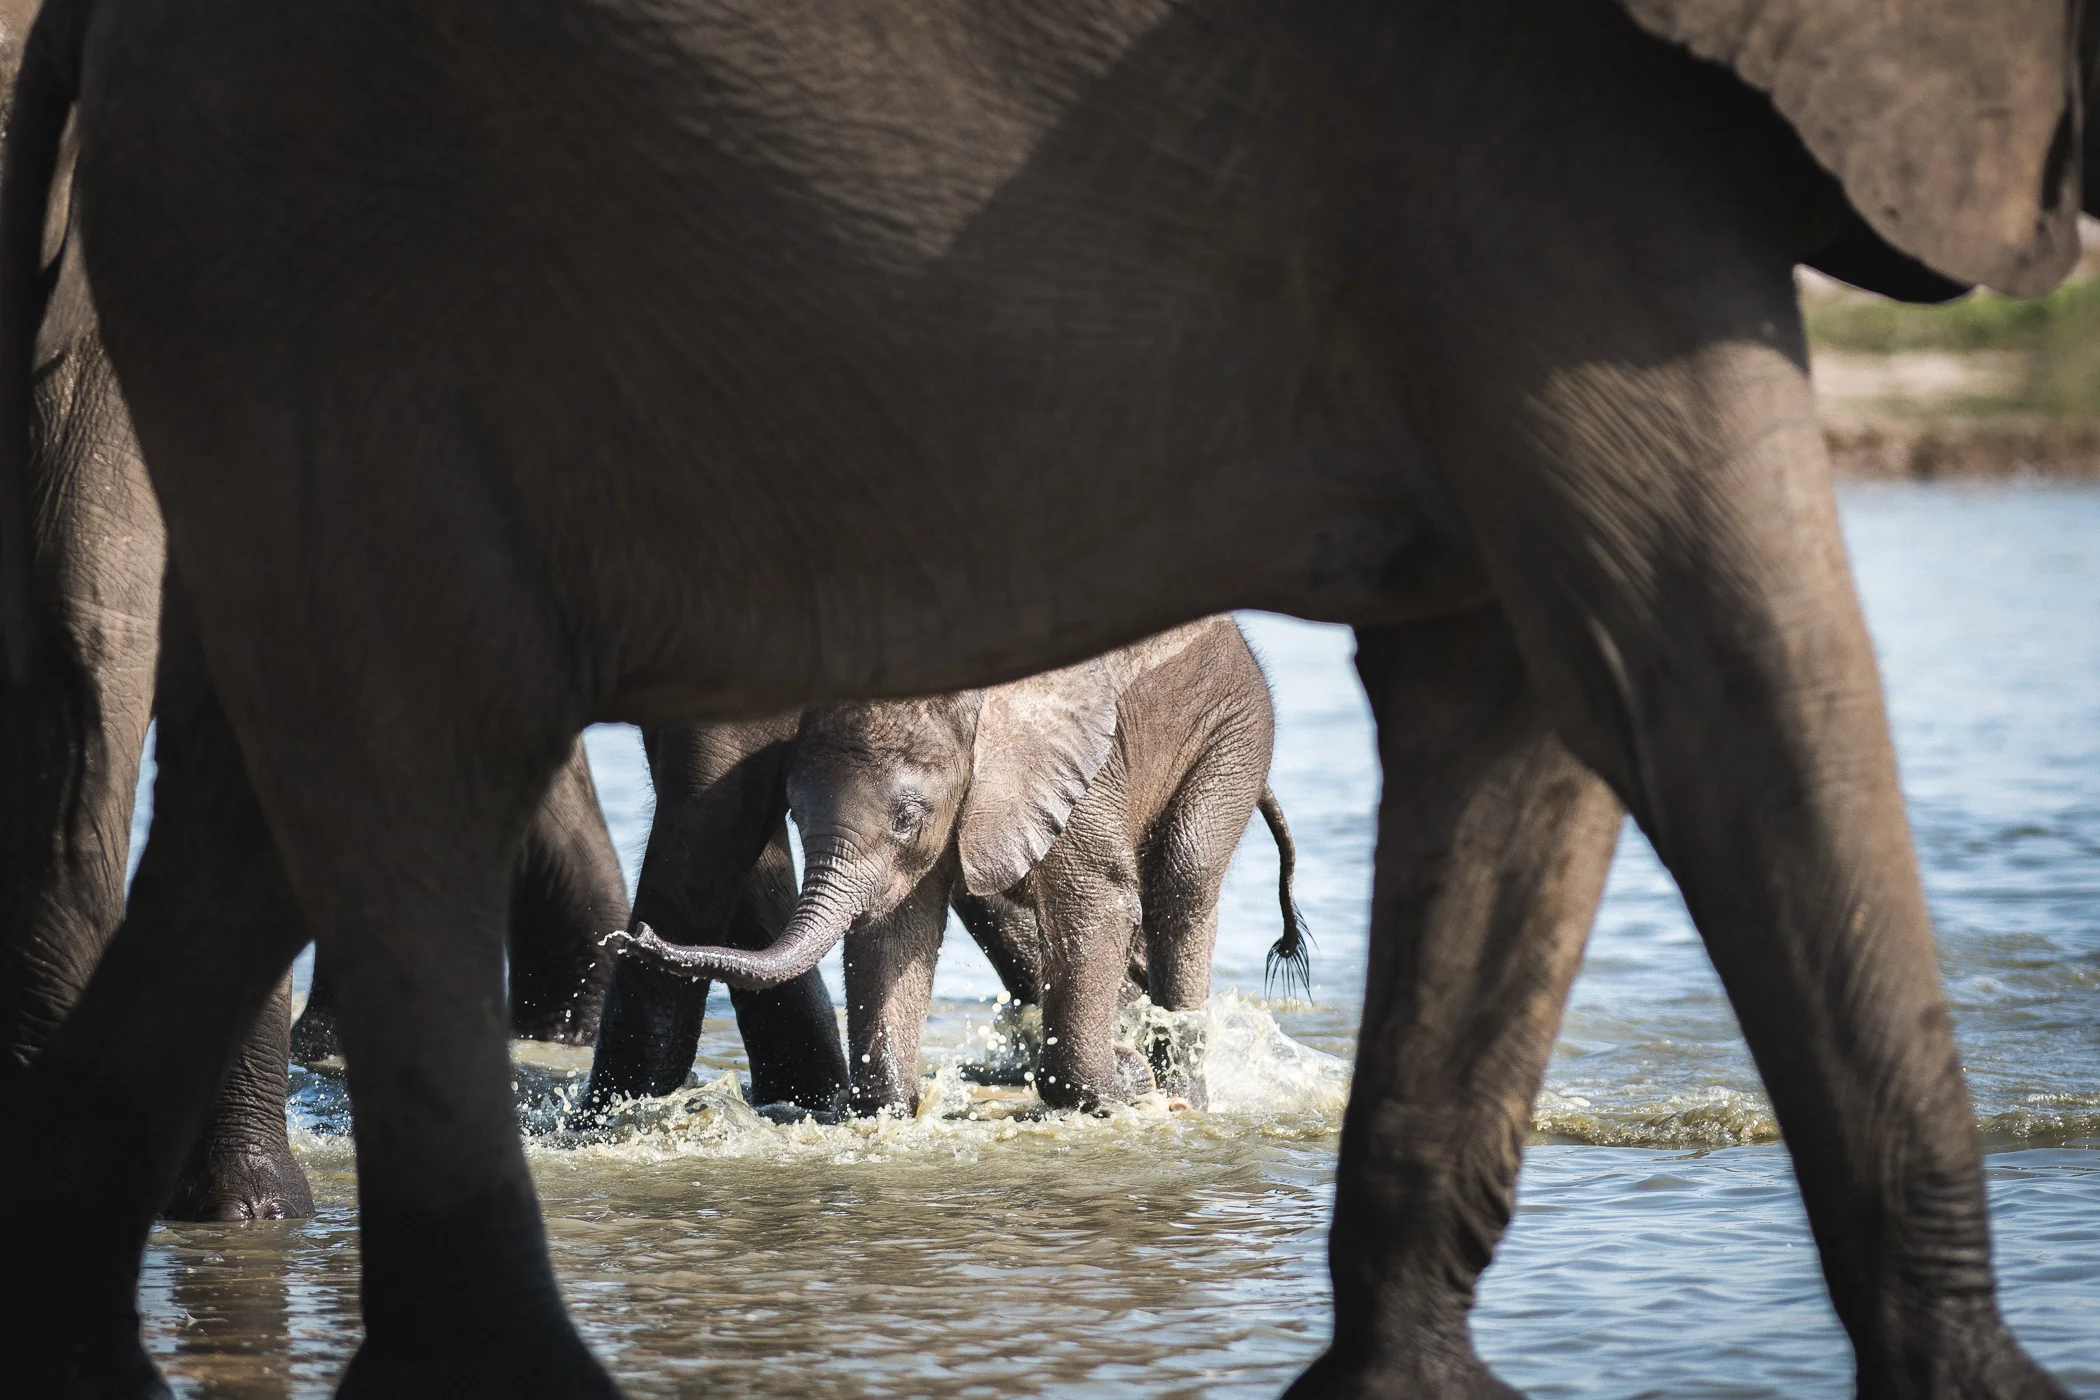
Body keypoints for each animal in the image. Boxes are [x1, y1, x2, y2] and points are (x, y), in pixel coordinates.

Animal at [621, 616, 1309, 1116]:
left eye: (906, 816)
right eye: (790, 812)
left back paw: (1185, 1099)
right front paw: (891, 1109)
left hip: (1236, 727)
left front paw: (1126, 1082)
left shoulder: (1074, 774)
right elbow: (895, 930)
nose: (636, 938)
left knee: (1184, 883)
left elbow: (1098, 901)